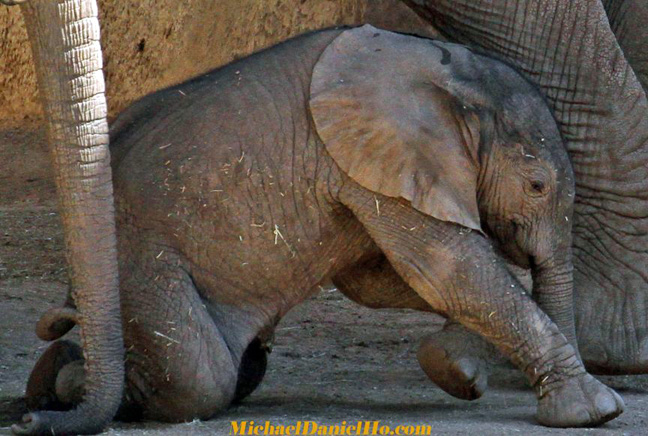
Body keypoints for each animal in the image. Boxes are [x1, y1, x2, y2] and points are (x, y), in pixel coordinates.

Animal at [29, 23, 624, 426]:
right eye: (537, 187)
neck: (451, 74)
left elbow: (384, 279)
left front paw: (456, 367)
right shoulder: (375, 158)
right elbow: (445, 269)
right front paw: (596, 410)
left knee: (238, 368)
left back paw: (51, 380)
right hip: (141, 261)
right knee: (202, 378)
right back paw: (59, 390)